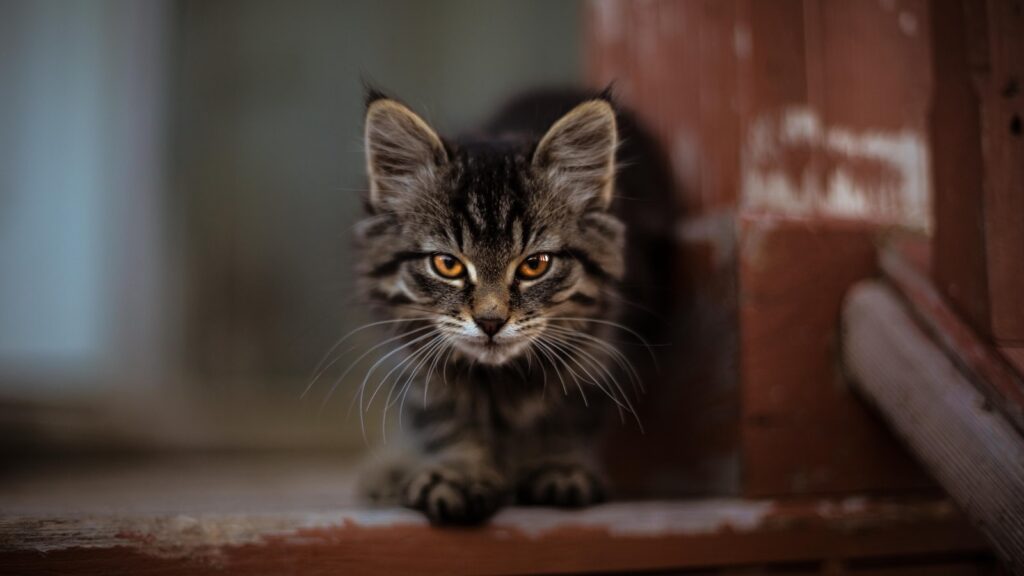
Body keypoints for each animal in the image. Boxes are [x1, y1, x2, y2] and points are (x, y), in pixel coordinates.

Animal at [352, 87, 659, 522]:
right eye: (447, 264)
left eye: (535, 264)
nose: (491, 321)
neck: (500, 380)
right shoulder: (416, 355)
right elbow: (445, 416)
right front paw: (462, 472)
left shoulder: (602, 345)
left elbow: (569, 411)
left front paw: (557, 464)